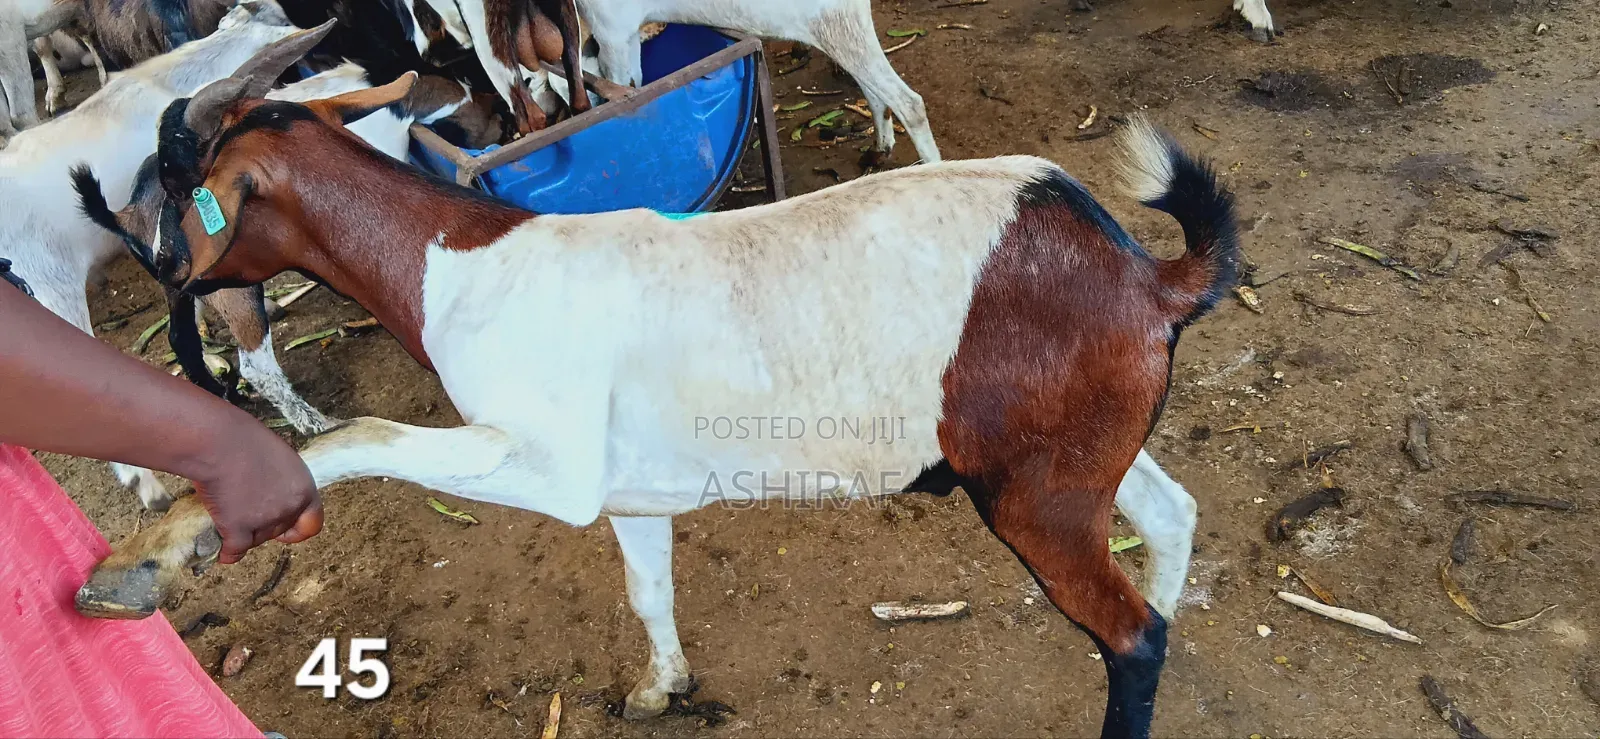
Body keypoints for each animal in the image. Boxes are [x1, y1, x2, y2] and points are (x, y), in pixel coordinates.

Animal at [74, 63, 1236, 737]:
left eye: (178, 175)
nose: (162, 273)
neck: (461, 265)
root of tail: (1148, 277)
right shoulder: (632, 492)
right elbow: (648, 590)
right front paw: (660, 687)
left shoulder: (547, 462)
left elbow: (365, 432)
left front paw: (154, 554)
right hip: (1079, 454)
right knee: (1172, 519)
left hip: (1035, 493)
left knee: (1131, 636)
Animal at [576, 0, 940, 164]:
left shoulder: (611, 32)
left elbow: (623, 90)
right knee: (876, 92)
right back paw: (881, 147)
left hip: (837, 26)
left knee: (909, 102)